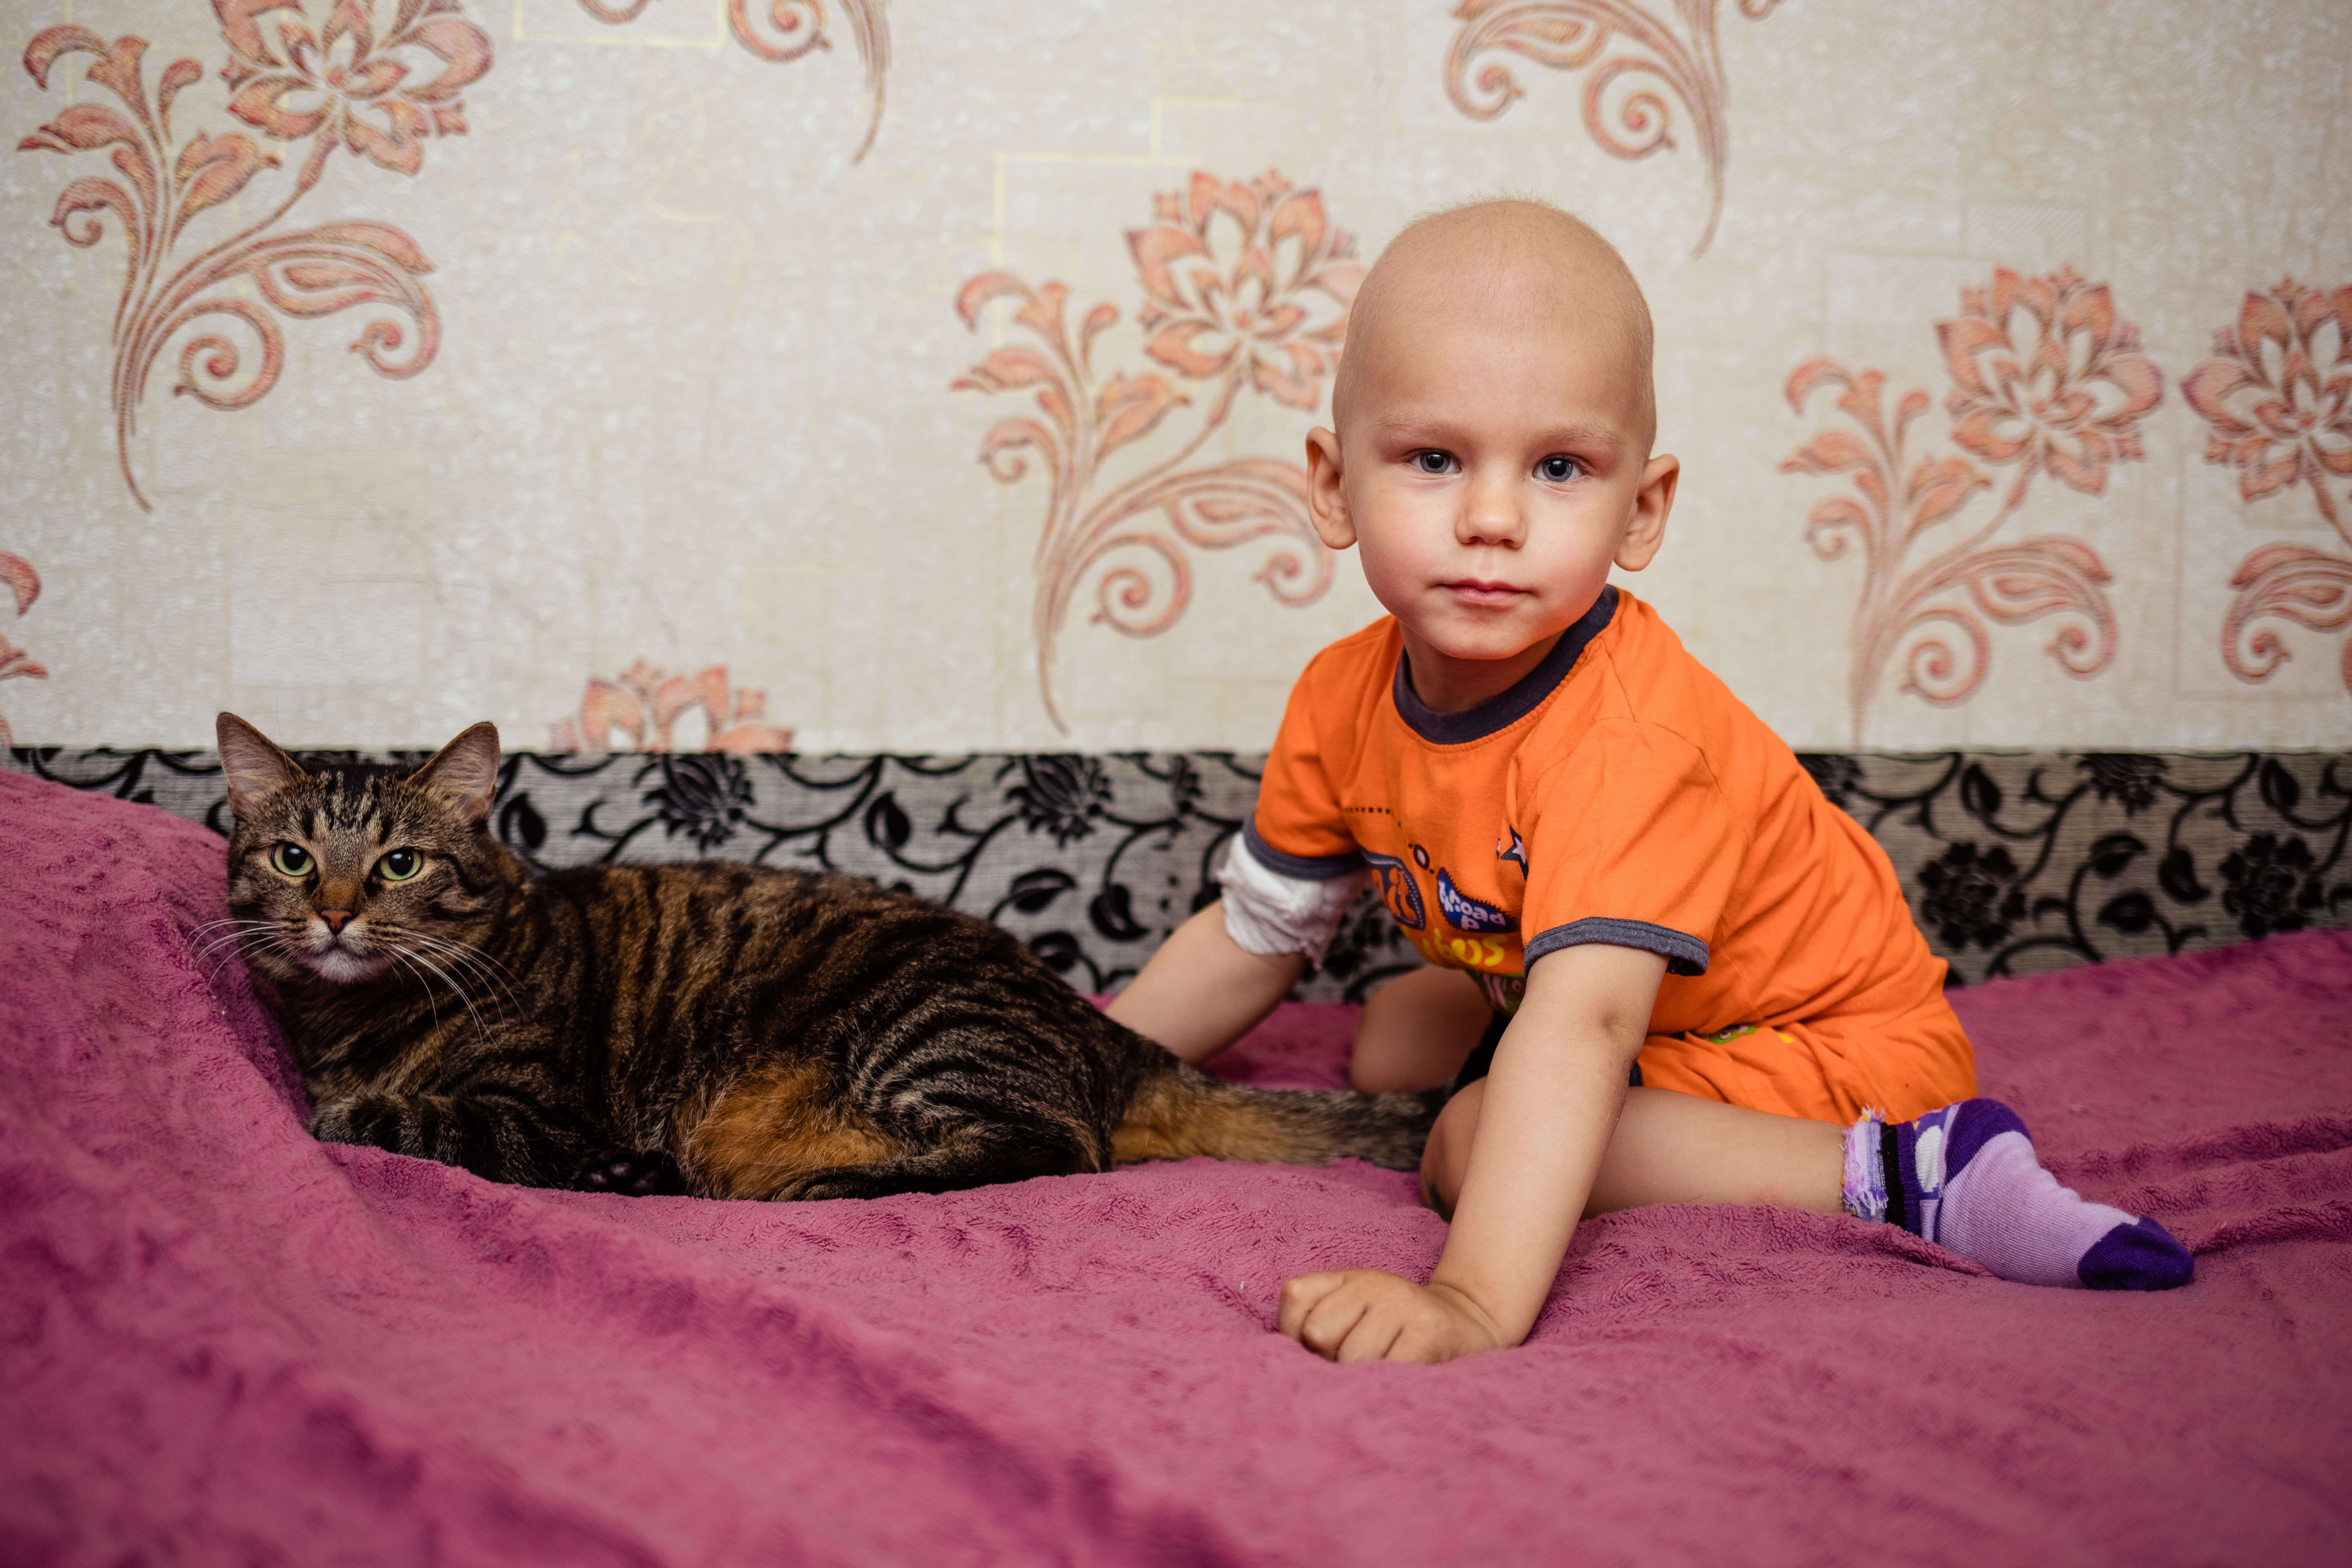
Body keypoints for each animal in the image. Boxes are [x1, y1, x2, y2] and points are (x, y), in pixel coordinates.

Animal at [214, 713, 1437, 1200]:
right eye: (292, 857)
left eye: (400, 865)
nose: (333, 914)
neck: (349, 1020)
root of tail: (1101, 1026)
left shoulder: (537, 1114)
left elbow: (390, 1117)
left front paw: (343, 1108)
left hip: (925, 1039)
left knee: (1044, 1150)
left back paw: (806, 1184)